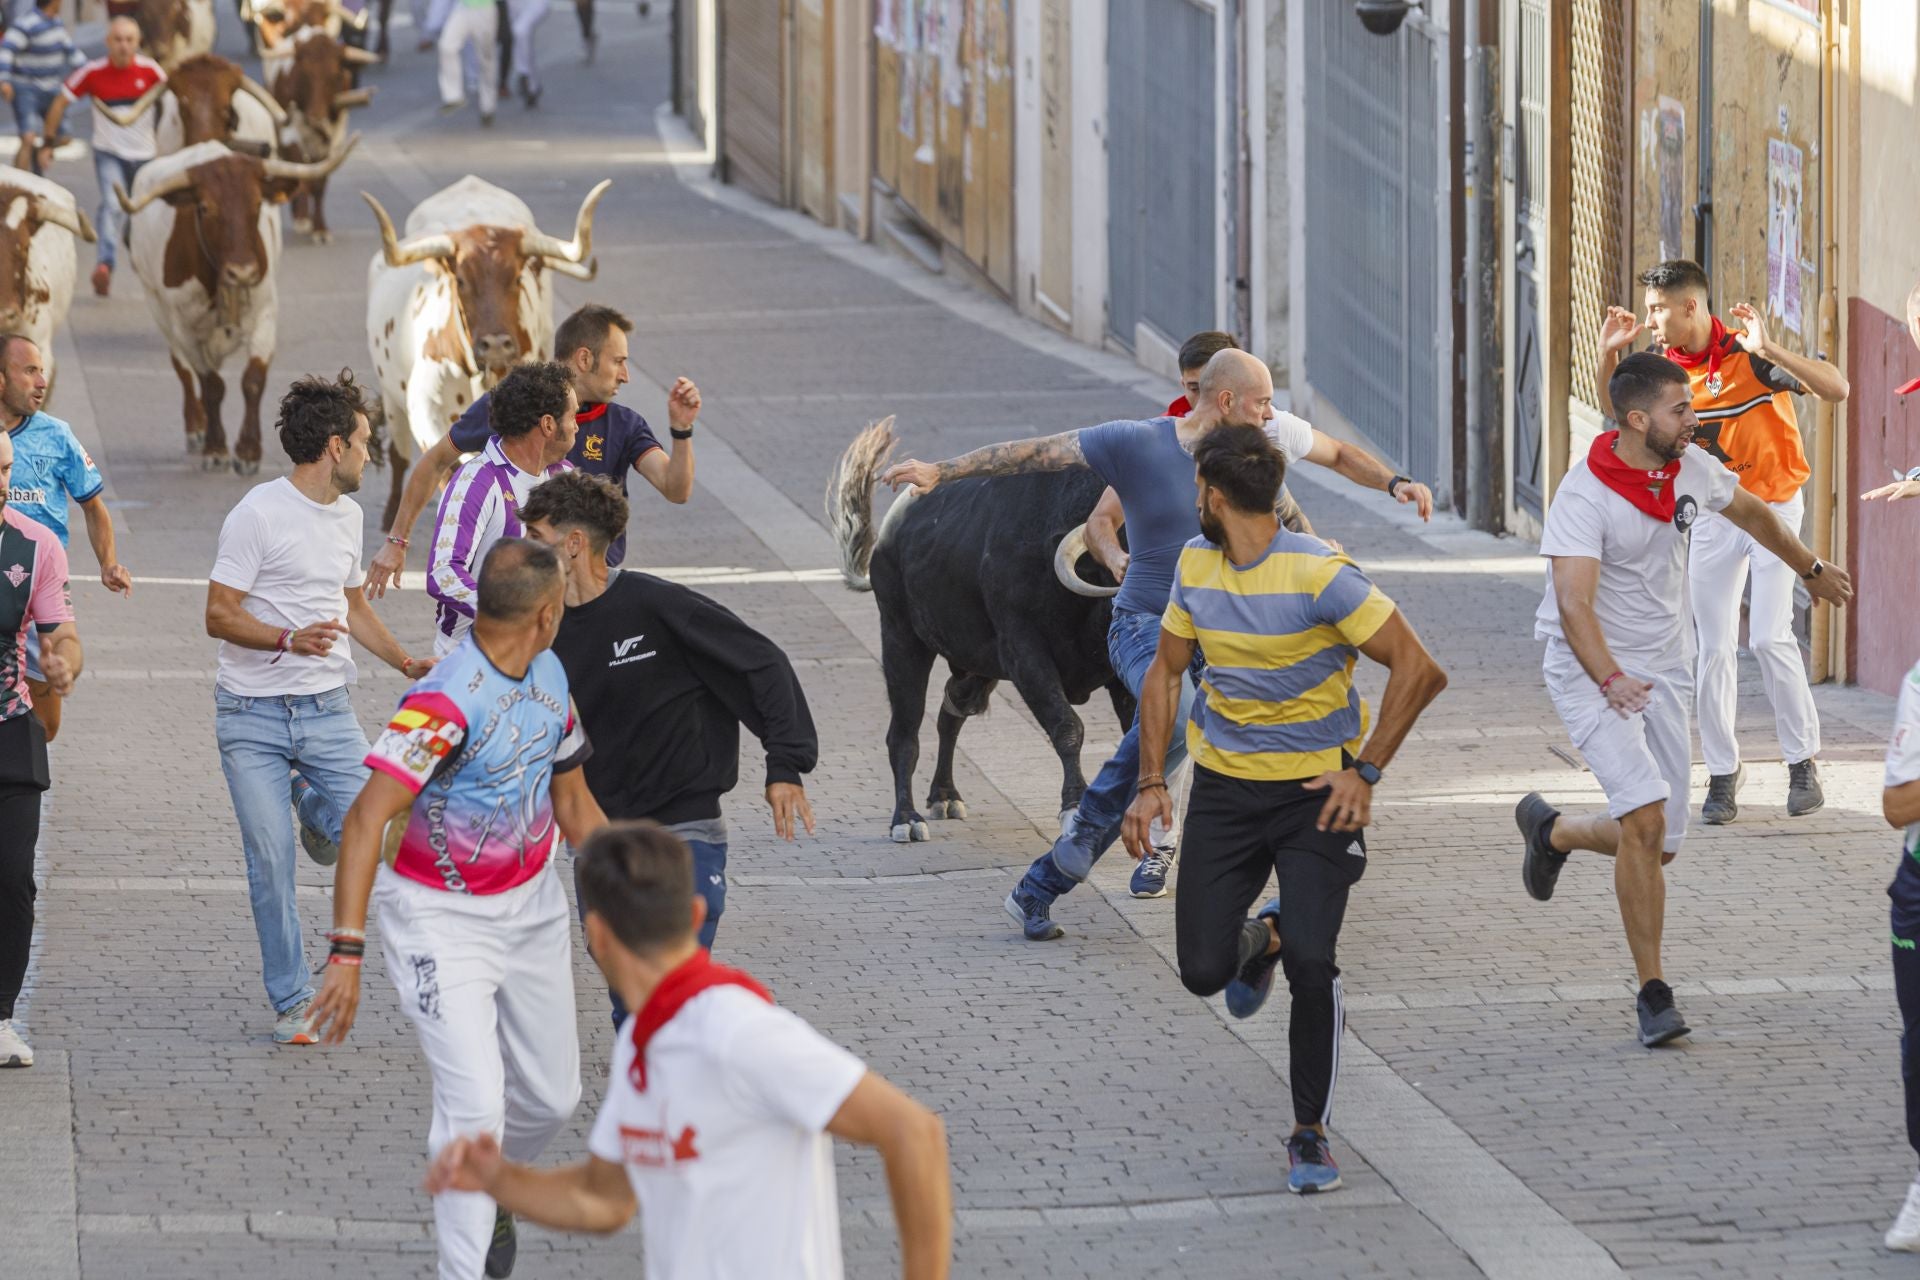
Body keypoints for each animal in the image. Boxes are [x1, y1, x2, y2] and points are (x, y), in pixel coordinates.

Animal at [829, 416, 1128, 844]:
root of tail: (888, 534)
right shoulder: (1025, 652)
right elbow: (1067, 725)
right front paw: (1074, 807)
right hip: (901, 639)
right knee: (904, 731)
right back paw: (907, 817)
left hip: (974, 666)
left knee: (950, 714)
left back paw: (944, 795)